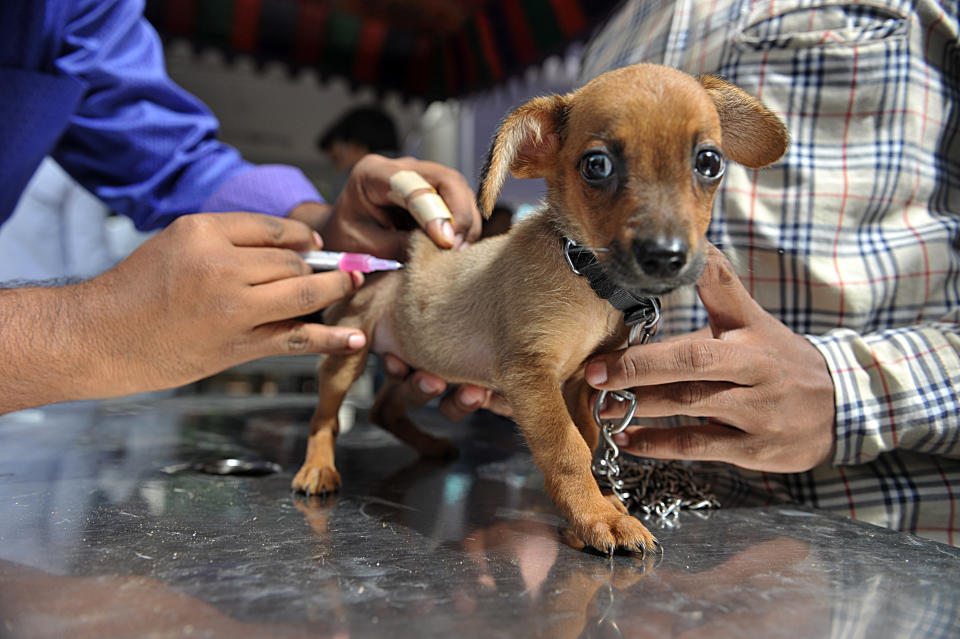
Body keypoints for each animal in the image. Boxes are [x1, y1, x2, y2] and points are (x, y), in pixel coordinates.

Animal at [294, 65, 788, 556]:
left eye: (709, 162)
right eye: (596, 165)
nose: (664, 255)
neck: (587, 279)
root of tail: (405, 255)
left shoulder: (581, 382)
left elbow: (589, 438)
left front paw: (601, 501)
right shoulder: (531, 375)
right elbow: (567, 449)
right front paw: (597, 517)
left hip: (421, 366)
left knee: (383, 409)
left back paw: (430, 445)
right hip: (348, 352)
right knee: (325, 418)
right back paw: (317, 469)